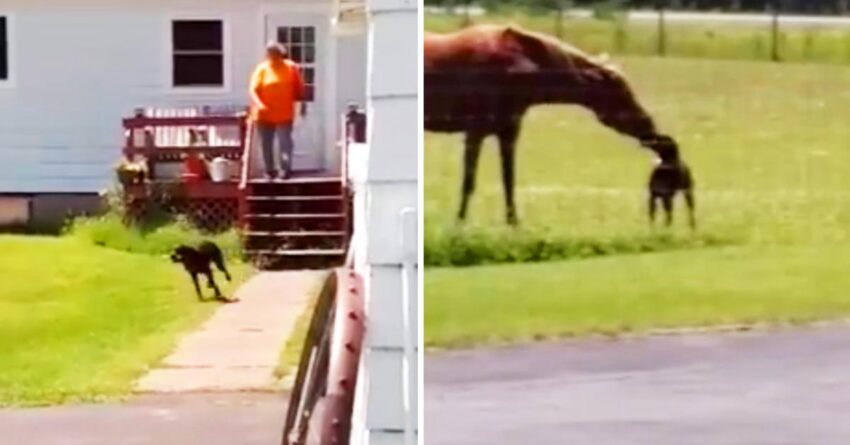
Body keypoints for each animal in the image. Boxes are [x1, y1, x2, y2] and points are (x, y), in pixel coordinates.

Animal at [424, 24, 676, 225]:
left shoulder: (508, 131)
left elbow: (508, 181)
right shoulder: (474, 131)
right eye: (621, 94)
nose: (650, 126)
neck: (517, 69)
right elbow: (469, 182)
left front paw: (514, 224)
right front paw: (459, 225)